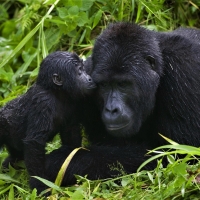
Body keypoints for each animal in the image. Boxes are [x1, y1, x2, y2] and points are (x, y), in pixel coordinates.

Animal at [0, 50, 96, 193]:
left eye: (84, 69)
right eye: (79, 71)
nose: (89, 78)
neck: (56, 91)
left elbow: (71, 134)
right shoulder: (43, 102)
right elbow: (34, 143)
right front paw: (39, 185)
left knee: (15, 157)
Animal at [45, 22, 200, 187]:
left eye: (123, 84)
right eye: (104, 85)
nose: (111, 109)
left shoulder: (183, 69)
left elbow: (179, 153)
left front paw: (62, 161)